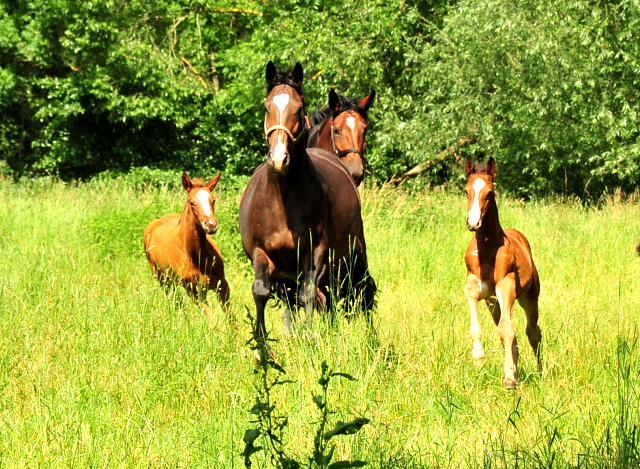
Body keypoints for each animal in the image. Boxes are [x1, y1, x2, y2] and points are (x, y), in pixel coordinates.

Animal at [143, 174, 230, 306]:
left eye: (213, 200)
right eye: (192, 202)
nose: (211, 225)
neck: (197, 255)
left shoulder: (222, 285)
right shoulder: (195, 292)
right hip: (162, 279)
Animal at [241, 61, 378, 336]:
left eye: (298, 109)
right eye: (266, 107)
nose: (279, 158)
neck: (282, 199)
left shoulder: (316, 254)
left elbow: (310, 296)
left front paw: (311, 338)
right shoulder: (262, 254)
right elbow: (262, 292)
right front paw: (262, 342)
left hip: (349, 256)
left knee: (350, 293)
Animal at [462, 157, 544, 388]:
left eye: (489, 192)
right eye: (466, 190)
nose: (473, 222)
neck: (488, 247)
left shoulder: (506, 286)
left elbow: (507, 329)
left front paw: (509, 378)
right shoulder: (475, 286)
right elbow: (479, 328)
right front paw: (478, 358)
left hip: (529, 297)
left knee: (533, 332)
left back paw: (540, 372)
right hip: (494, 303)